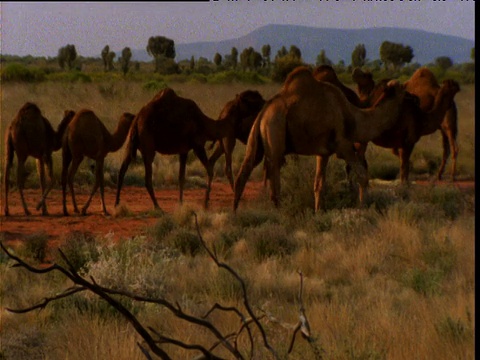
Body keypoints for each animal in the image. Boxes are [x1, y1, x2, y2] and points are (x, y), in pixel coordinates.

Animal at [234, 66, 406, 212]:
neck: (353, 117)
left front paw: (318, 212)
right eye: (401, 89)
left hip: (257, 138)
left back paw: (235, 214)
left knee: (244, 172)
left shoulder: (323, 152)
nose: (410, 94)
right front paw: (364, 207)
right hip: (274, 129)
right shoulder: (343, 146)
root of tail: (264, 112)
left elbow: (319, 184)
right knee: (274, 180)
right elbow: (362, 176)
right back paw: (278, 212)